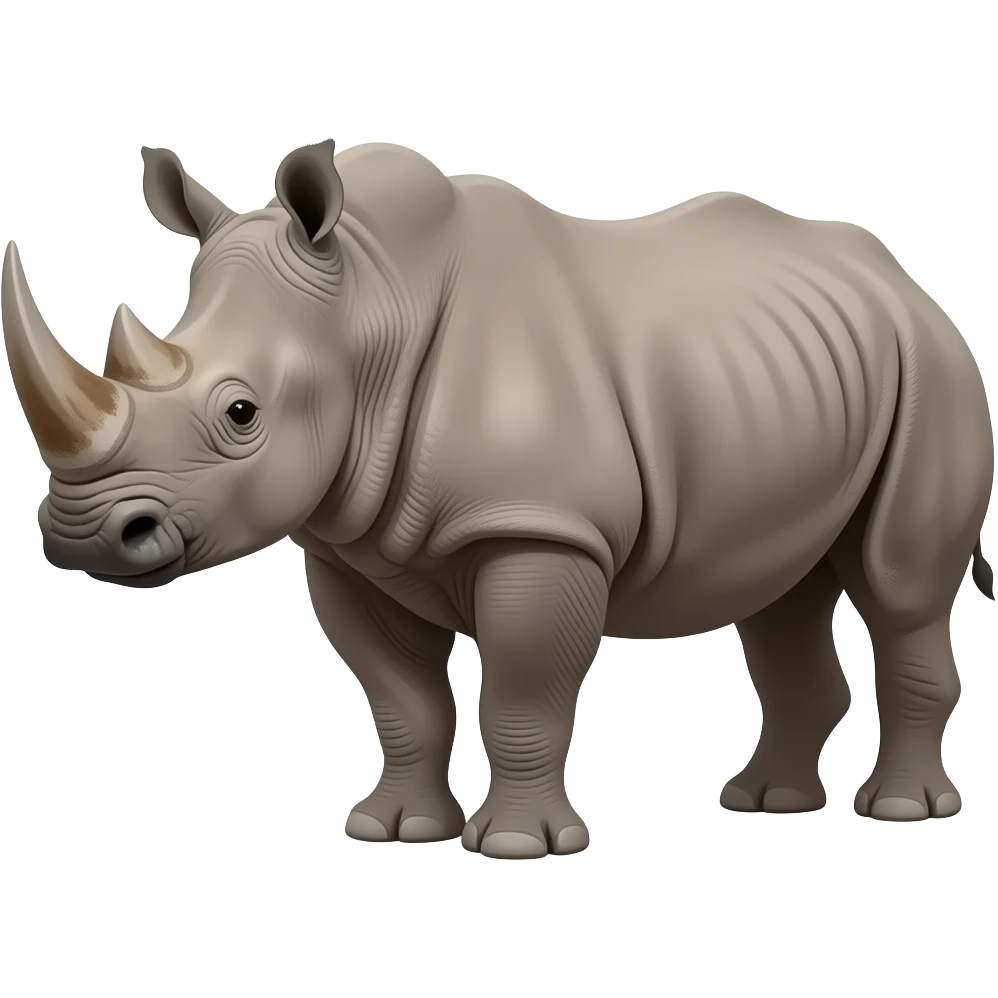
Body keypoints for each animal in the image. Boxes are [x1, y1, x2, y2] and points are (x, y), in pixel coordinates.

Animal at [2, 140, 992, 853]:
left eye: (241, 413)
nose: (84, 536)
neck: (367, 307)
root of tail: (906, 282)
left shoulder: (542, 530)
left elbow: (520, 689)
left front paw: (518, 846)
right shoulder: (348, 543)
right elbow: (402, 699)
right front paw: (392, 830)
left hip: (934, 367)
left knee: (899, 584)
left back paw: (901, 812)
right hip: (798, 375)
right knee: (782, 594)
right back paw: (766, 803)